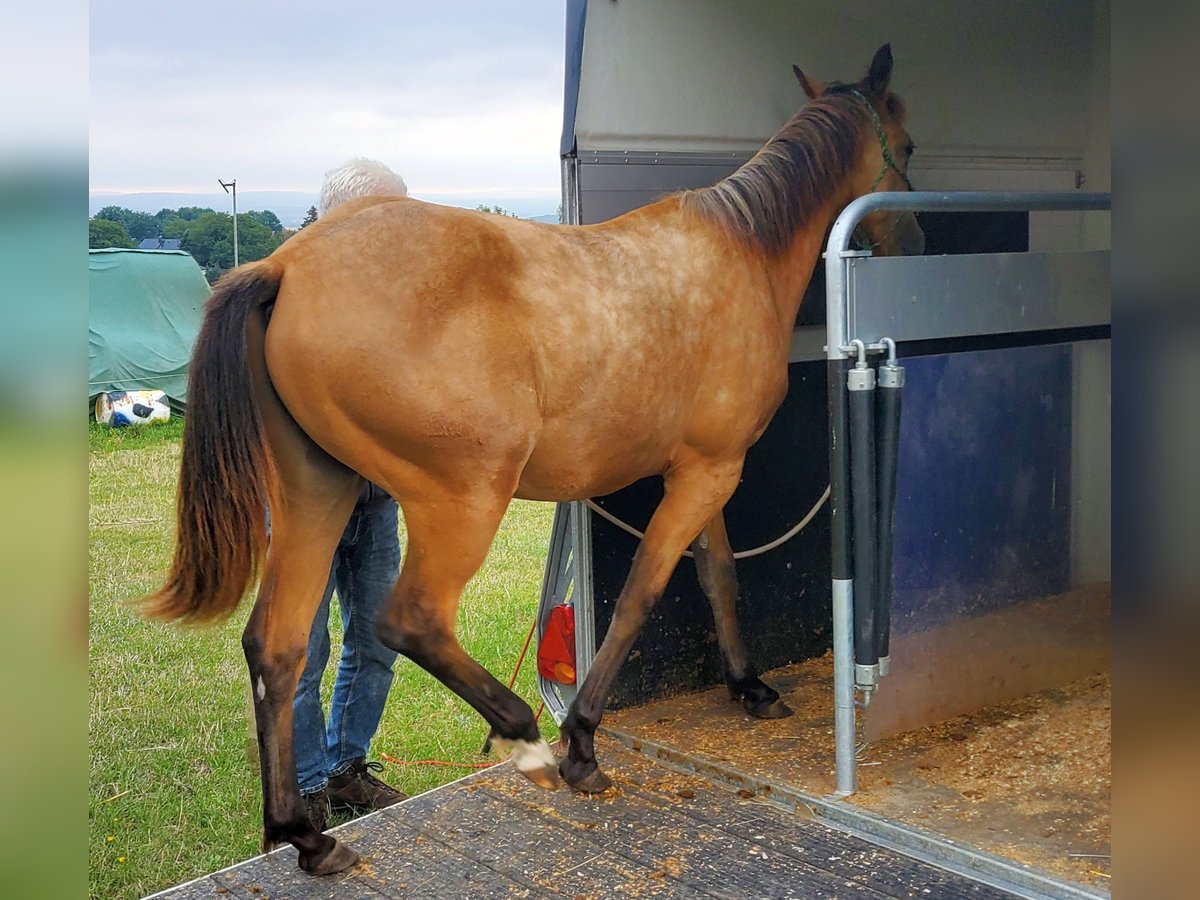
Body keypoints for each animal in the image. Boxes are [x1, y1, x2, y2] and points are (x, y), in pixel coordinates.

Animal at [145, 45, 921, 878]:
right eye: (906, 146)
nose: (913, 239)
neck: (738, 251)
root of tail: (285, 267)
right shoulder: (709, 472)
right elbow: (644, 594)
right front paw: (581, 741)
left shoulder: (704, 469)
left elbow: (717, 576)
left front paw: (749, 686)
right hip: (462, 500)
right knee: (411, 621)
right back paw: (526, 742)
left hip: (317, 497)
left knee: (278, 646)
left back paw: (307, 834)